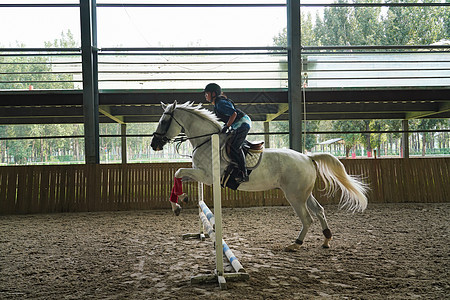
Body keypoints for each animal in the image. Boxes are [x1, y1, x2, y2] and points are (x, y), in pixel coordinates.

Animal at [151, 101, 370, 251]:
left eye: (164, 121)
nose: (154, 145)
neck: (206, 140)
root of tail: (308, 158)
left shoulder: (206, 176)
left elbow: (178, 172)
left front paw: (178, 203)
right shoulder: (198, 175)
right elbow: (178, 175)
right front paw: (180, 201)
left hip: (295, 196)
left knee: (308, 218)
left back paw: (296, 244)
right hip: (304, 194)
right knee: (320, 211)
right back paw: (326, 239)